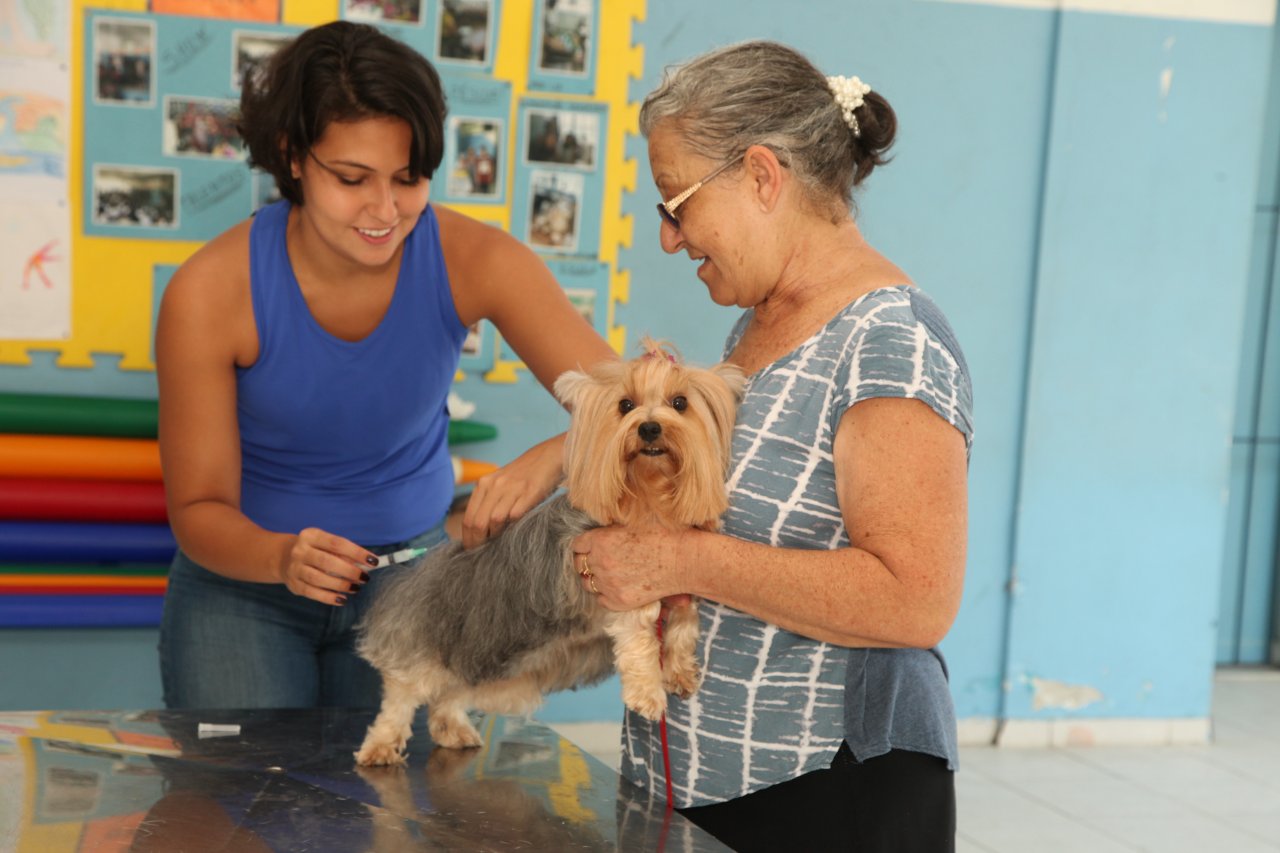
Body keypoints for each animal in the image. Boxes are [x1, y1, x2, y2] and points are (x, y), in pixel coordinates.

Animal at [355, 338, 747, 763]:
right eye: (625, 405)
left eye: (680, 403)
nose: (649, 427)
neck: (649, 498)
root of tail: (418, 573)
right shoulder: (624, 585)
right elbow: (641, 636)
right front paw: (649, 693)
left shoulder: (678, 587)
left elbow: (683, 625)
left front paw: (680, 671)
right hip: (428, 642)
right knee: (401, 694)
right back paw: (381, 746)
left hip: (490, 660)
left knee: (453, 690)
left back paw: (453, 730)